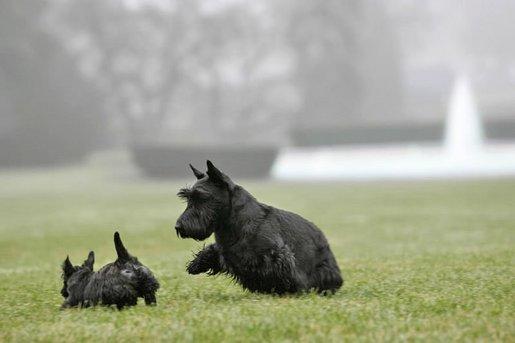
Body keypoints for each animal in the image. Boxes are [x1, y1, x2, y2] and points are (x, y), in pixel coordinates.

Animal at [175, 162, 344, 296]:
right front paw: (196, 265)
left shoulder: (276, 256)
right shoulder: (226, 252)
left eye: (202, 197)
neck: (233, 221)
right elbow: (211, 251)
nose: (179, 227)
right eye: (188, 198)